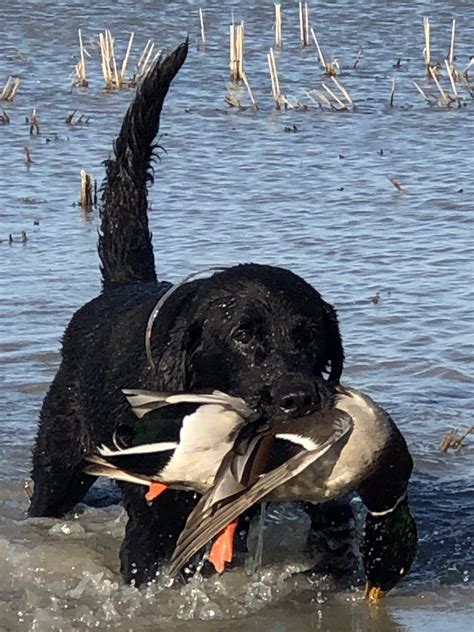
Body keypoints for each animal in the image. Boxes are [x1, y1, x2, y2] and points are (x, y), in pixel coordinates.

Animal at [29, 40, 344, 588]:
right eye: (242, 335)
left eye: (308, 337)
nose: (299, 398)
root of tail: (123, 287)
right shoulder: (151, 525)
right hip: (57, 462)